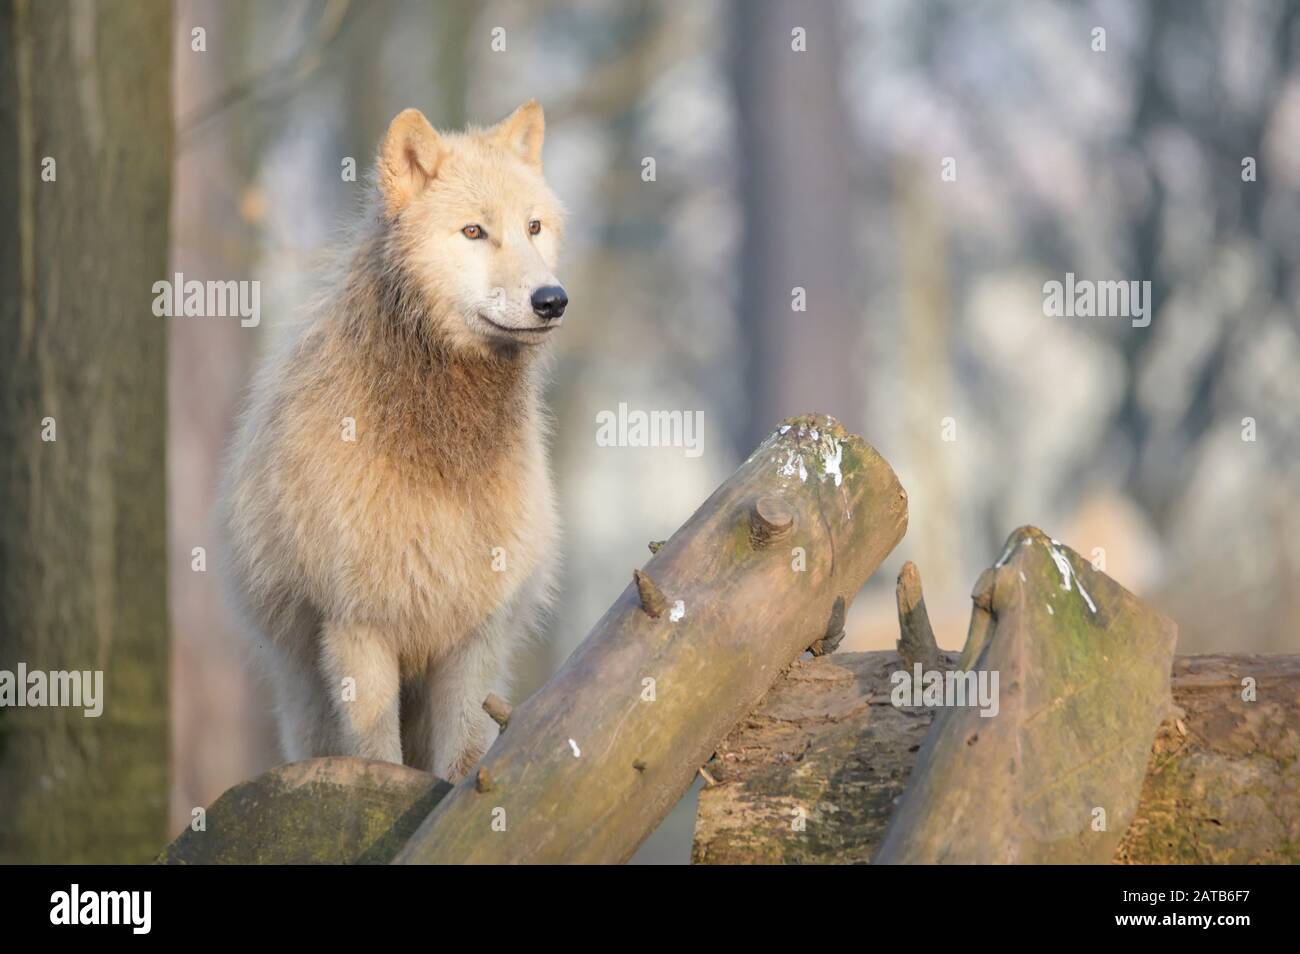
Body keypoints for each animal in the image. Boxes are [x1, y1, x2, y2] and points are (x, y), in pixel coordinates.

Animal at [220, 100, 566, 779]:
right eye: (473, 232)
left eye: (534, 227)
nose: (552, 300)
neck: (441, 442)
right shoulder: (358, 625)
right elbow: (376, 751)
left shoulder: (475, 630)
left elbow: (465, 758)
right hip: (305, 693)